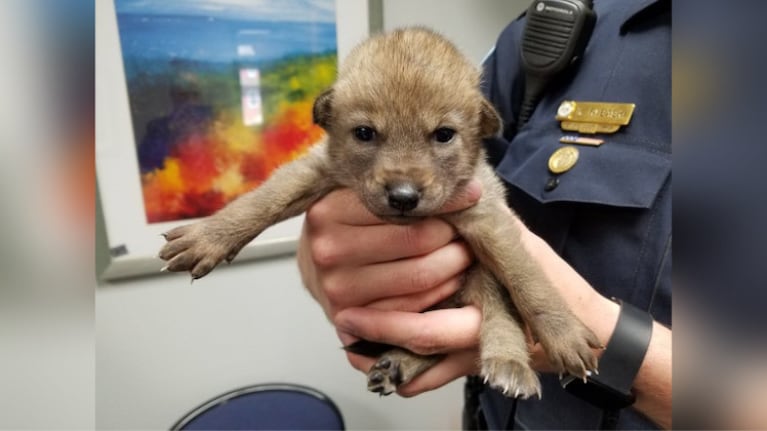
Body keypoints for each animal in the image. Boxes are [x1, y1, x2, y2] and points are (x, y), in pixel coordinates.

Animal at [159, 27, 604, 398]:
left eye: (444, 134)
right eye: (364, 133)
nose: (403, 196)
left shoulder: (488, 220)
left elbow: (528, 281)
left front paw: (563, 333)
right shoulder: (317, 169)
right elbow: (262, 200)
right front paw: (209, 236)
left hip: (478, 277)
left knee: (498, 314)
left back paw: (507, 361)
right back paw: (399, 363)